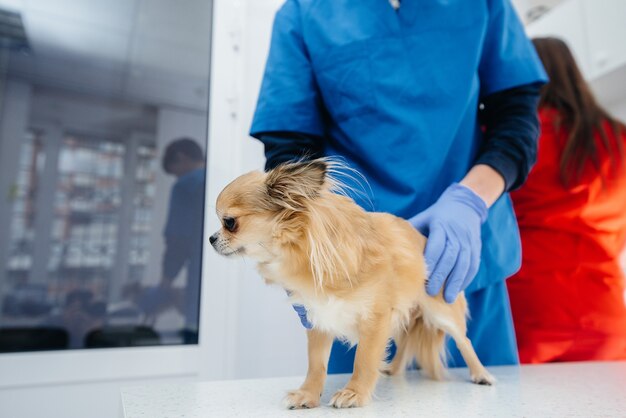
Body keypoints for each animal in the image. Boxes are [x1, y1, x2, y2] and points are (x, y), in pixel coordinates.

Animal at [210, 159, 492, 408]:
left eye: (229, 223)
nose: (211, 239)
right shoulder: (318, 317)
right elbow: (316, 364)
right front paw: (308, 395)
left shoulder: (375, 319)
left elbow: (364, 360)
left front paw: (354, 393)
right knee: (404, 344)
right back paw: (394, 369)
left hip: (440, 311)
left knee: (464, 341)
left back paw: (481, 374)